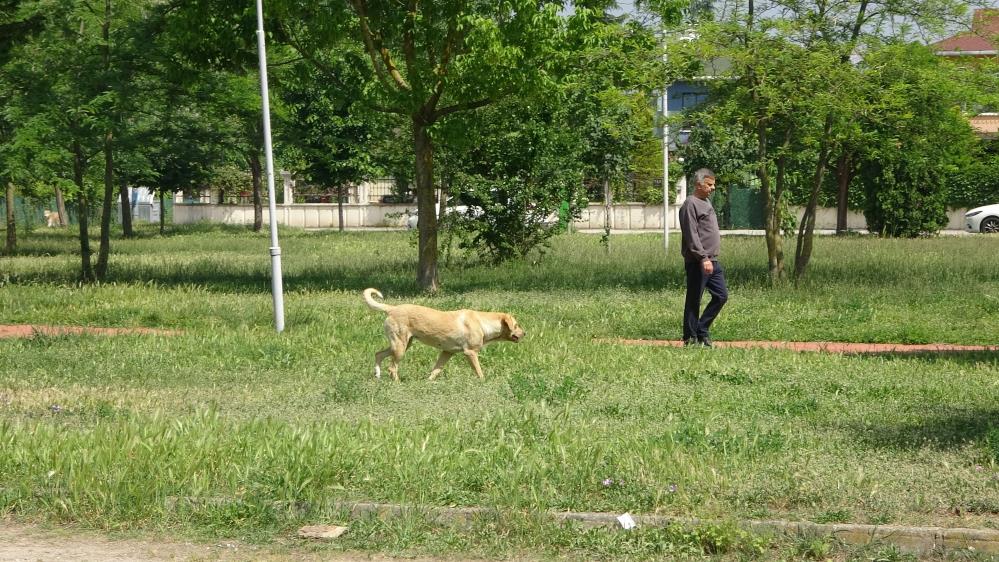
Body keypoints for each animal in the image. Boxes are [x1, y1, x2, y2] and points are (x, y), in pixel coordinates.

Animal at [364, 284, 528, 380]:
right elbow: (479, 371)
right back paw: (397, 384)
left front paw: (428, 383)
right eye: (517, 325)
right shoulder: (470, 353)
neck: (483, 323)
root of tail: (392, 308)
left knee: (378, 354)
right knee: (392, 367)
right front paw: (483, 382)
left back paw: (377, 375)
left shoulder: (447, 352)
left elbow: (436, 370)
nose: (525, 333)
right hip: (400, 347)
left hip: (402, 344)